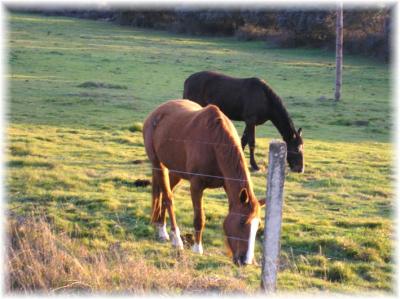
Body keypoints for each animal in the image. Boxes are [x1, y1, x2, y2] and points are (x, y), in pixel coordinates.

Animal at [144, 100, 266, 264]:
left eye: (258, 225)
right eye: (242, 222)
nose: (245, 261)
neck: (214, 143)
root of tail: (156, 113)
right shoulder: (196, 185)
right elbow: (199, 218)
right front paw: (197, 248)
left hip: (175, 171)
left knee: (164, 195)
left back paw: (162, 229)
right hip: (159, 165)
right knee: (168, 198)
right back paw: (173, 237)